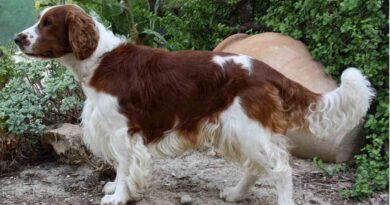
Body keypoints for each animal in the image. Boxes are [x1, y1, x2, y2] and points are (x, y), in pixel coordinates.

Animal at [15, 4, 374, 205]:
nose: (17, 38)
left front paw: (119, 197)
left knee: (281, 169)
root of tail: (265, 68)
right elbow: (121, 167)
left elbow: (126, 165)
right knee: (256, 166)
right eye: (38, 20)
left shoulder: (121, 131)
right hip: (238, 130)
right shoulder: (116, 131)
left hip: (247, 128)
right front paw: (117, 189)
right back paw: (235, 194)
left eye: (47, 23)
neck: (101, 60)